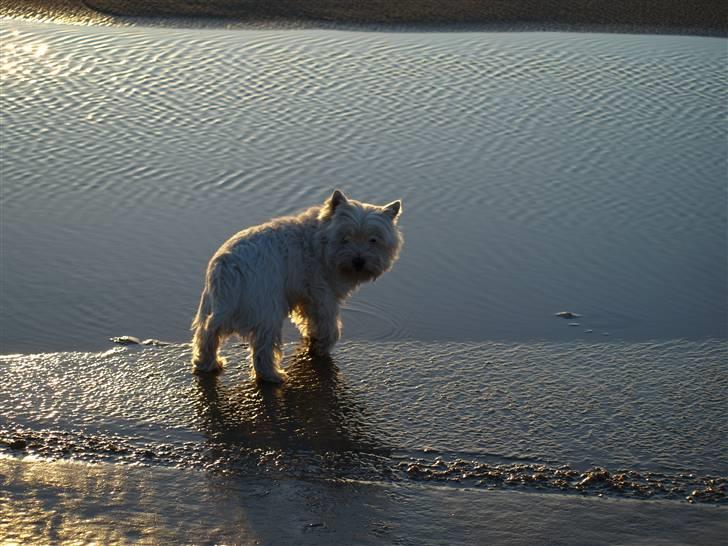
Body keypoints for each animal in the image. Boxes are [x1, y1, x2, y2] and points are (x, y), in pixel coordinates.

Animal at [191, 189, 400, 380]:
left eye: (373, 240)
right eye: (345, 238)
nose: (359, 261)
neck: (320, 243)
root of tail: (228, 268)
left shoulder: (304, 296)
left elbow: (309, 320)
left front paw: (312, 339)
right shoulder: (322, 293)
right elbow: (329, 324)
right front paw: (322, 346)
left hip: (216, 306)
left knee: (207, 333)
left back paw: (207, 363)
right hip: (266, 309)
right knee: (263, 347)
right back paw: (273, 376)